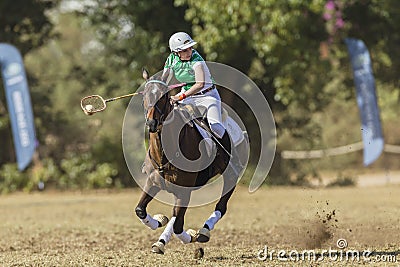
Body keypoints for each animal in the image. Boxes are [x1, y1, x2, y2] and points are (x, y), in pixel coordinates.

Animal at [134, 68, 245, 254]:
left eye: (163, 97)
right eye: (144, 96)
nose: (151, 123)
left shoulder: (184, 191)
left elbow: (178, 225)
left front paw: (191, 237)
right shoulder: (153, 181)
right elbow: (140, 210)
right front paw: (159, 221)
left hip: (230, 173)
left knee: (221, 206)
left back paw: (204, 231)